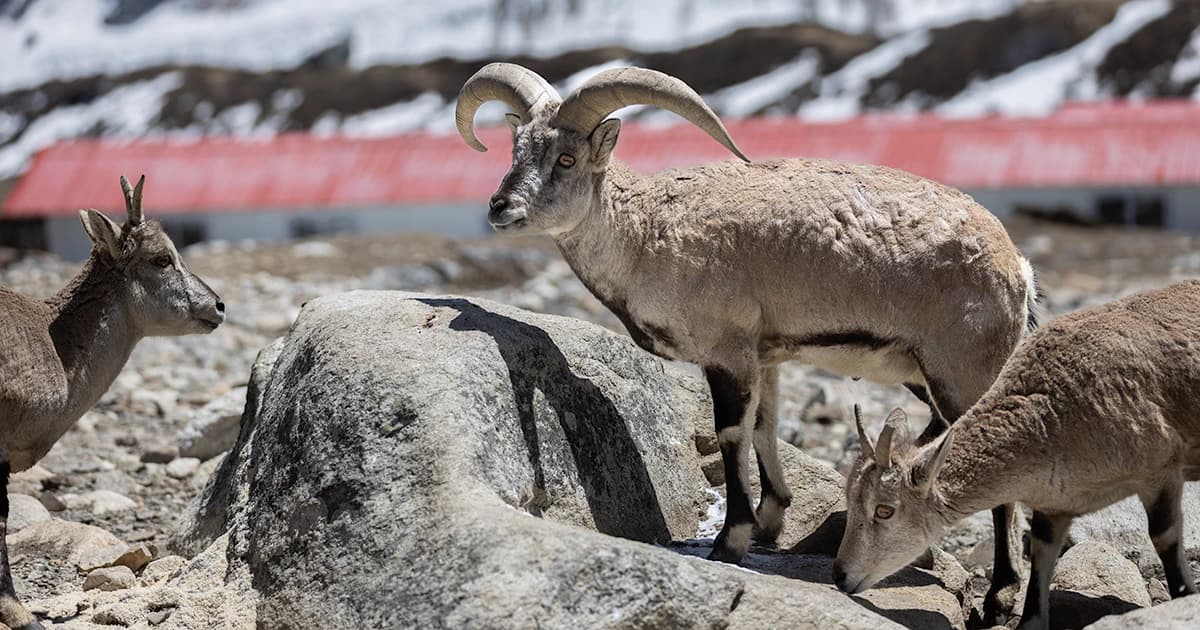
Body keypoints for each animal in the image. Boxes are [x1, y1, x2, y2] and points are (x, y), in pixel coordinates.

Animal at [454, 63, 1038, 616]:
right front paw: (771, 520)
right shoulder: (767, 354)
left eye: (567, 159)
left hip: (961, 369)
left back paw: (1001, 593)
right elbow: (765, 426)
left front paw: (729, 541)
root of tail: (1018, 268)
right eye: (516, 149)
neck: (646, 233)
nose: (500, 206)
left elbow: (732, 433)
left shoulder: (726, 351)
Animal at [834, 279, 1200, 629]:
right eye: (850, 499)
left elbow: (1164, 535)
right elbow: (1040, 553)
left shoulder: (1160, 472)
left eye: (884, 510)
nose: (840, 575)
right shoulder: (1054, 502)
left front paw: (1185, 597)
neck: (1055, 415)